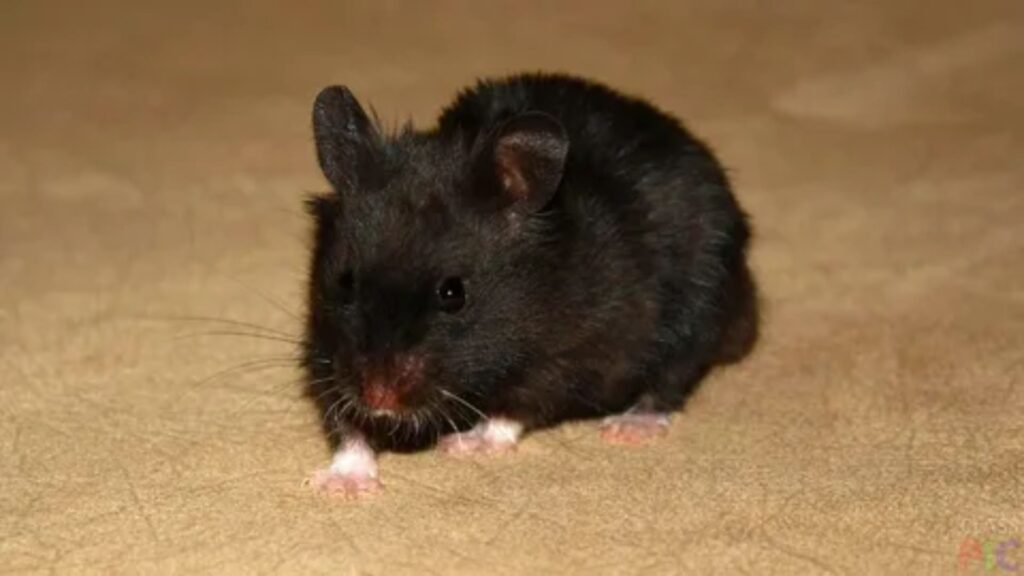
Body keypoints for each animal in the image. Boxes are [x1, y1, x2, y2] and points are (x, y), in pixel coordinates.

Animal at [302, 73, 758, 497]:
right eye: (345, 281)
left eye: (453, 294)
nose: (379, 398)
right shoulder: (326, 350)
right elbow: (345, 422)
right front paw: (340, 486)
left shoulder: (570, 356)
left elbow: (517, 406)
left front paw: (461, 445)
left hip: (700, 309)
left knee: (671, 380)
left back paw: (627, 428)